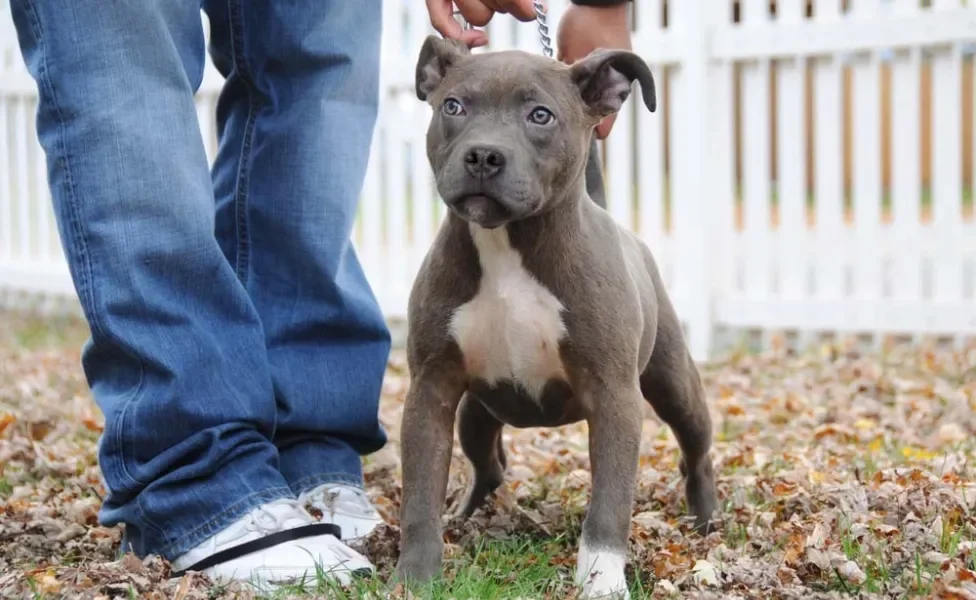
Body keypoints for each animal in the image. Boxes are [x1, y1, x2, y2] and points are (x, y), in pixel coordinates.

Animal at [394, 37, 716, 600]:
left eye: (540, 115)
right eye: (452, 106)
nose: (483, 155)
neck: (508, 245)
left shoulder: (614, 397)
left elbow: (609, 503)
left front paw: (602, 579)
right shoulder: (431, 389)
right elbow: (419, 493)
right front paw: (415, 578)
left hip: (674, 383)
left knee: (695, 449)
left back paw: (705, 520)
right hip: (475, 412)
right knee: (488, 465)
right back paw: (468, 516)